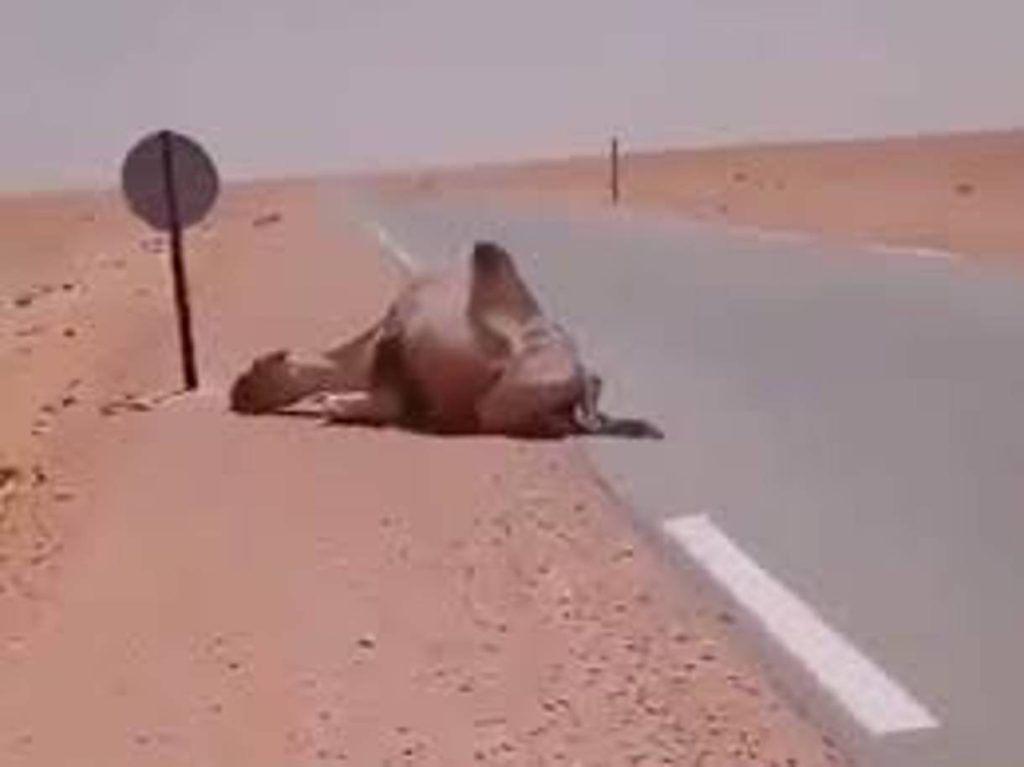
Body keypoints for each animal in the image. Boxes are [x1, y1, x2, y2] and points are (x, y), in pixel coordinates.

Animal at [228, 241, 663, 439]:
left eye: (256, 365)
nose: (237, 393)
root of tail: (580, 371)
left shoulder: (395, 358)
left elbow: (382, 405)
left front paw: (331, 403)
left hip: (505, 400)